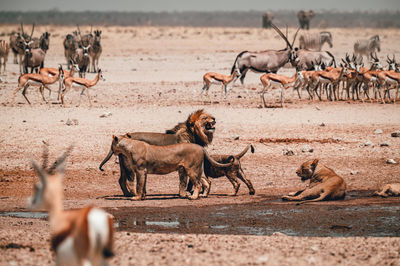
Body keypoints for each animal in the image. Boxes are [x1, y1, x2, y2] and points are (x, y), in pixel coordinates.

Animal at [98, 135, 233, 200]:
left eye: (111, 145)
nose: (112, 150)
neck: (128, 147)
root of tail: (201, 147)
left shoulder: (140, 170)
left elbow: (139, 185)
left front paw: (136, 198)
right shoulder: (144, 171)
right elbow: (143, 185)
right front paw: (143, 197)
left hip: (192, 169)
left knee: (199, 184)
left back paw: (193, 197)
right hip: (196, 169)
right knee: (205, 182)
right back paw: (200, 195)